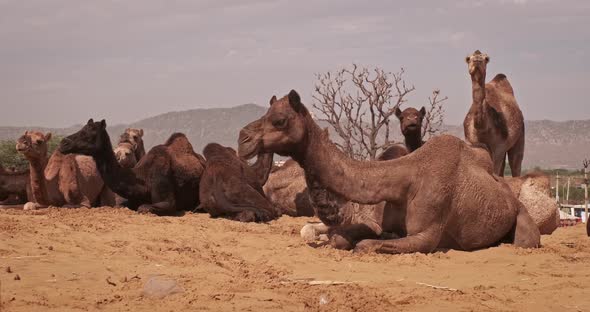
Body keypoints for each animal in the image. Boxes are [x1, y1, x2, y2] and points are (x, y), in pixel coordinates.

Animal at [58, 119, 206, 214]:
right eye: (82, 129)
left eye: (90, 133)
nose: (63, 143)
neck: (143, 179)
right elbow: (120, 206)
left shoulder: (167, 199)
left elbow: (144, 207)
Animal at [238, 89, 540, 254]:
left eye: (279, 120)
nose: (243, 139)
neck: (403, 178)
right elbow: (341, 237)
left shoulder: (427, 234)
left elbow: (364, 245)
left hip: (523, 221)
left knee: (525, 240)